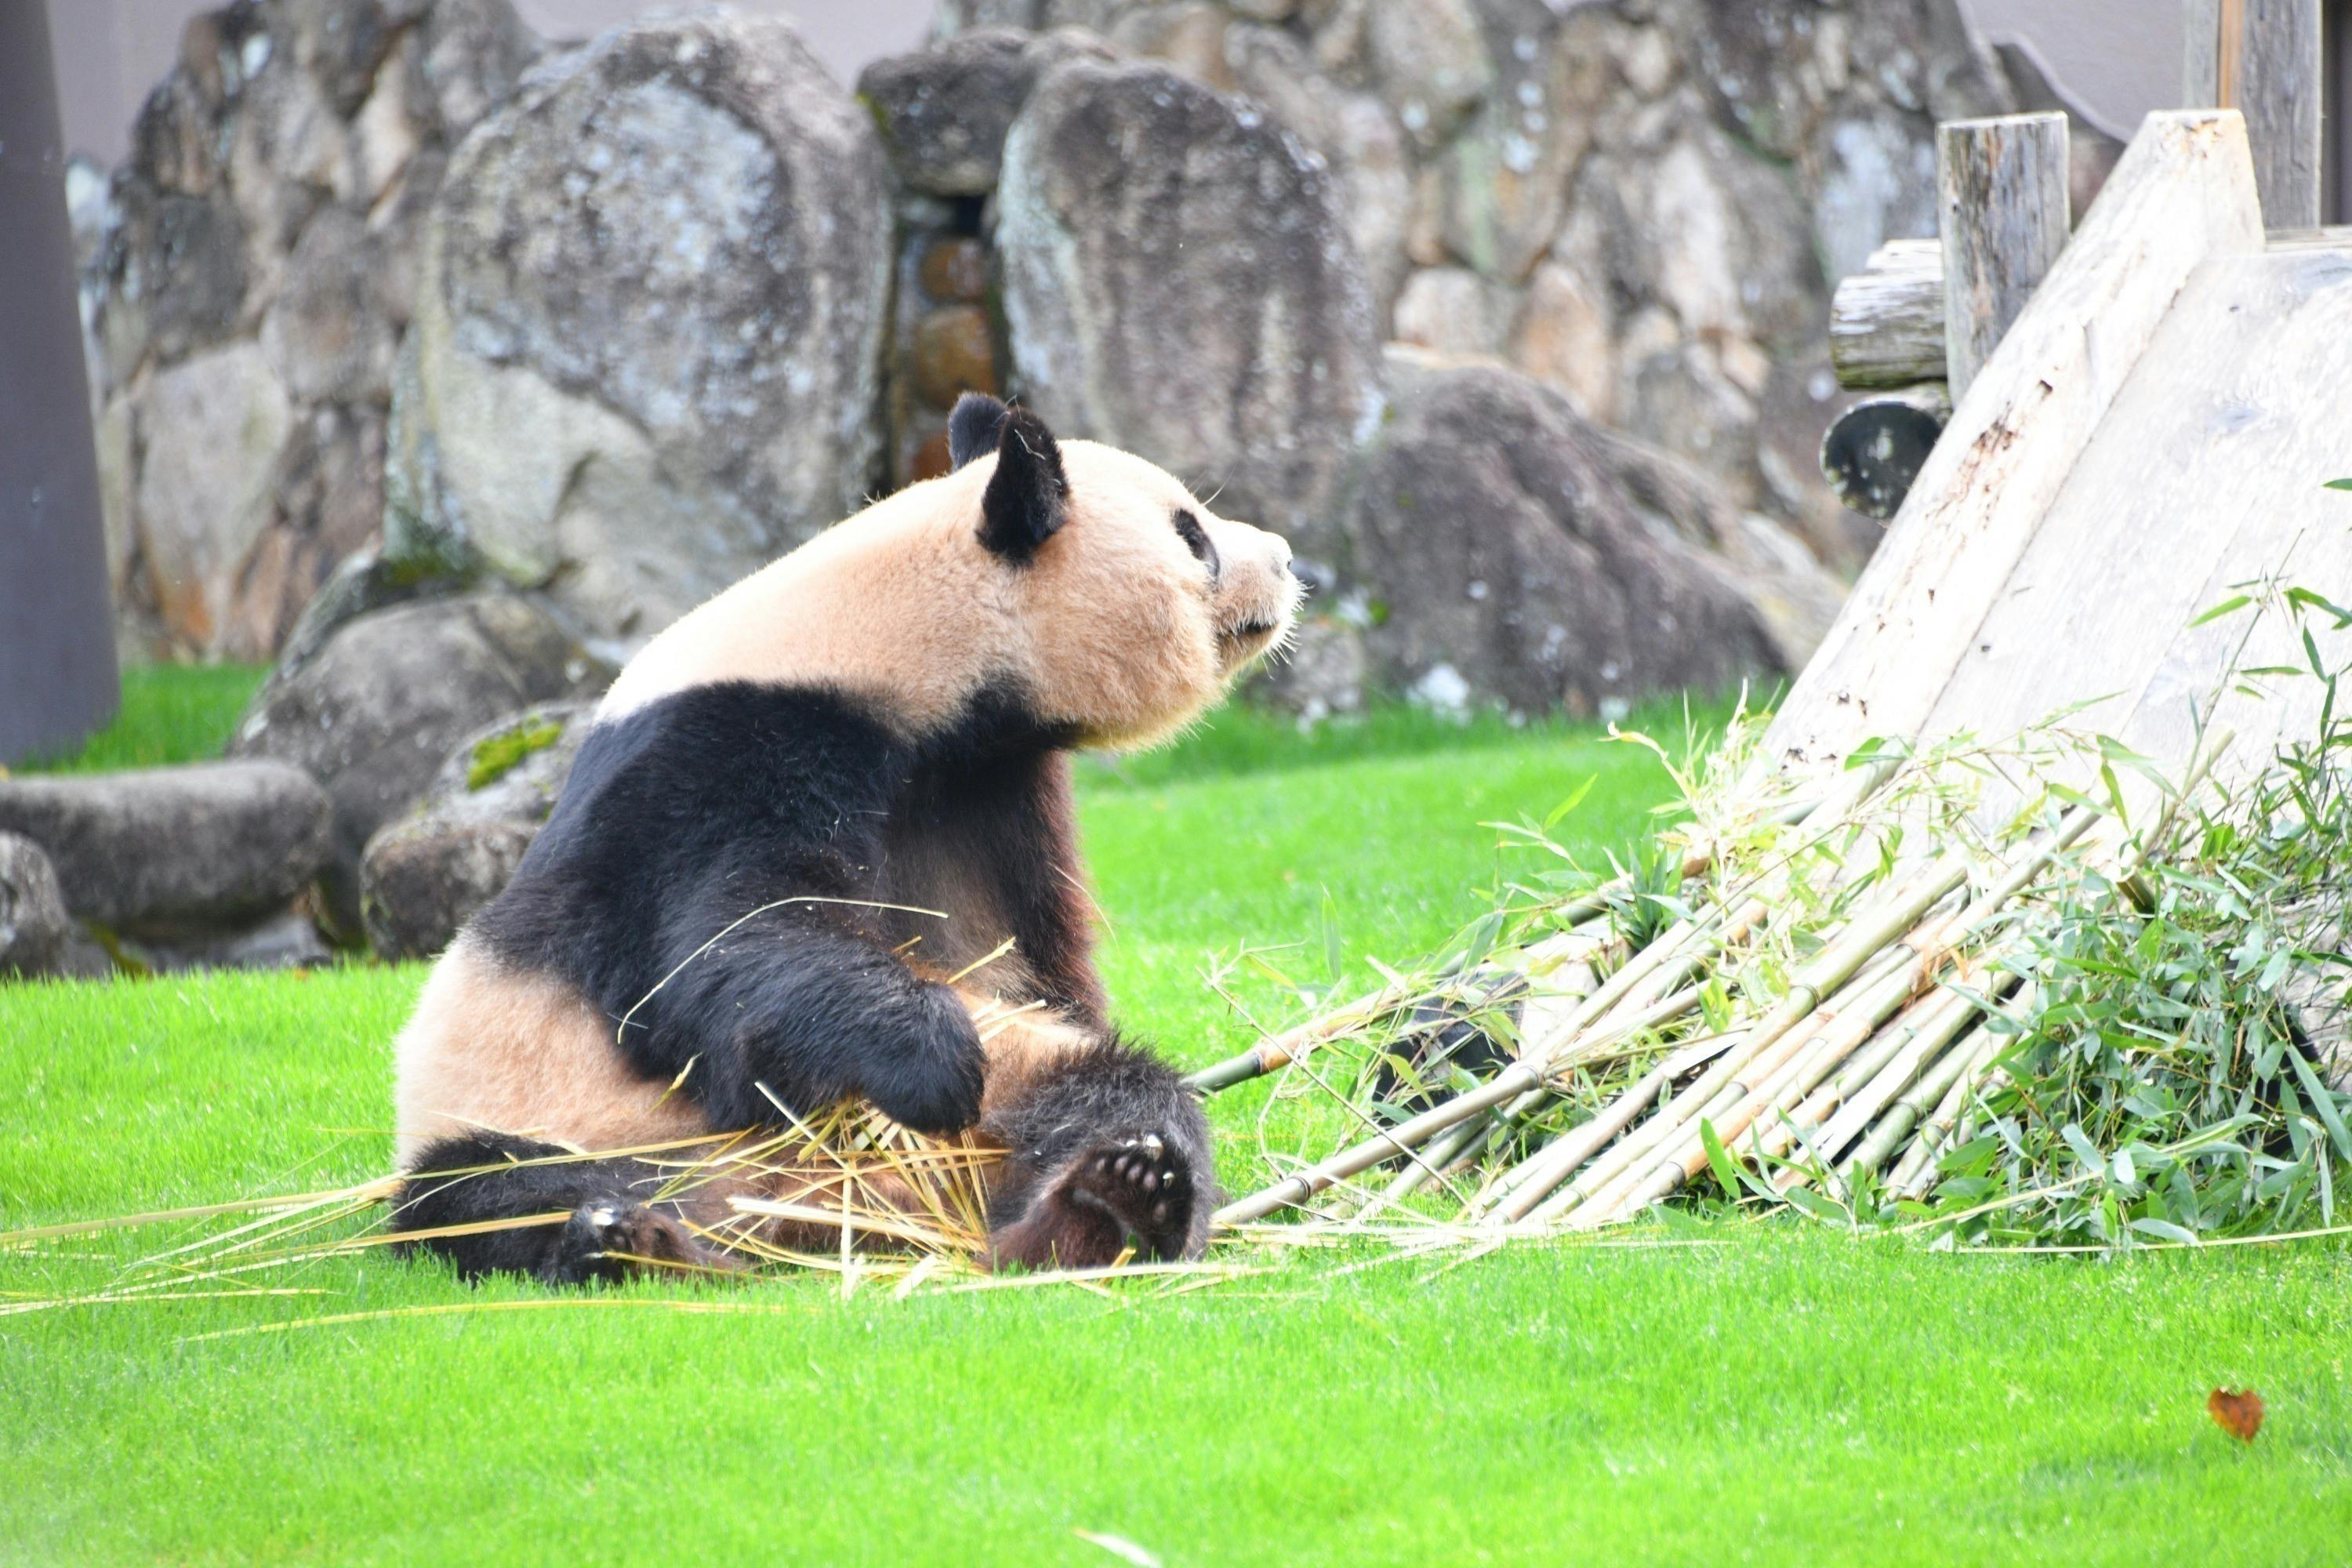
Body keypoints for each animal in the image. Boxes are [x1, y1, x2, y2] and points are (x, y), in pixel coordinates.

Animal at [390, 394, 1308, 1288]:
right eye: (1192, 535)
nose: (1287, 557)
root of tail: (814, 1215)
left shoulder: (997, 791)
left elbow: (1047, 983)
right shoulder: (726, 754)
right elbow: (719, 944)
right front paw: (935, 1058)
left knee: (1114, 1094)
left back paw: (1110, 1200)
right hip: (547, 1105)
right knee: (496, 1193)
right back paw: (632, 1239)